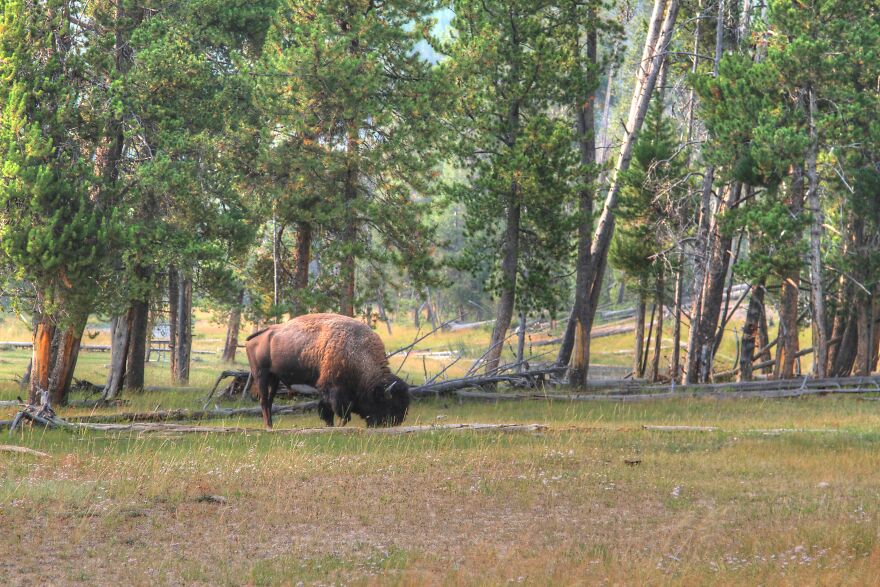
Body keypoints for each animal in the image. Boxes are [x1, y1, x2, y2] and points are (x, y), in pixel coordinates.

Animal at [245, 313, 410, 429]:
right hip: (261, 375)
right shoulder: (334, 390)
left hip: (274, 378)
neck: (358, 352)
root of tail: (255, 337)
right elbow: (341, 413)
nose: (396, 422)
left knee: (270, 401)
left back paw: (271, 425)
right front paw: (337, 426)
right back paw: (269, 426)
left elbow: (328, 411)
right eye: (391, 405)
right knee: (264, 400)